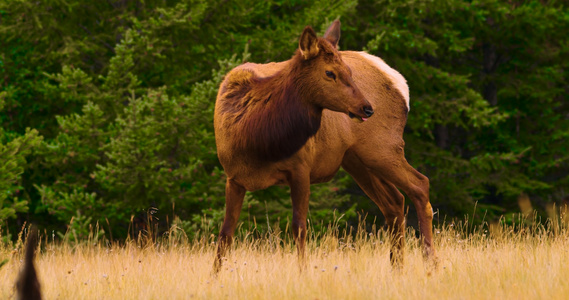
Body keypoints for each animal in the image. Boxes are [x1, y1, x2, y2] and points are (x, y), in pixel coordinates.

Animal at [213, 19, 434, 270]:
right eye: (330, 72)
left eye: (349, 71)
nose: (367, 108)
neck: (256, 140)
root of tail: (400, 82)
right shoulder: (233, 178)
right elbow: (225, 233)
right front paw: (215, 275)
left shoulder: (301, 167)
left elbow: (299, 227)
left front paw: (303, 272)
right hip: (357, 158)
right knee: (395, 201)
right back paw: (397, 267)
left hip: (383, 147)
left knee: (420, 184)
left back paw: (430, 263)